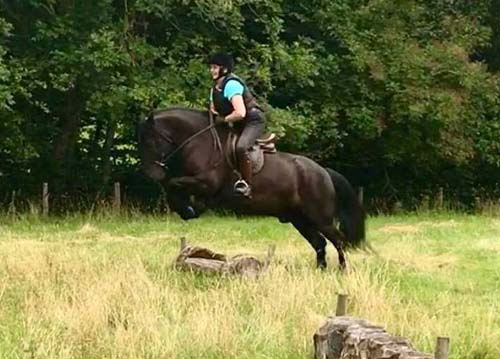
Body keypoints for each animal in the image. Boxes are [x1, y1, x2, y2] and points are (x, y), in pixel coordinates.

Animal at [139, 107, 366, 270]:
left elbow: (173, 183)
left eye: (151, 140)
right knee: (320, 243)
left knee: (338, 241)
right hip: (299, 219)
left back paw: (343, 271)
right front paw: (186, 208)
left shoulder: (206, 183)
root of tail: (323, 171)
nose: (151, 174)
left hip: (320, 218)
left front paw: (187, 208)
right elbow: (174, 185)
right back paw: (320, 271)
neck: (199, 142)